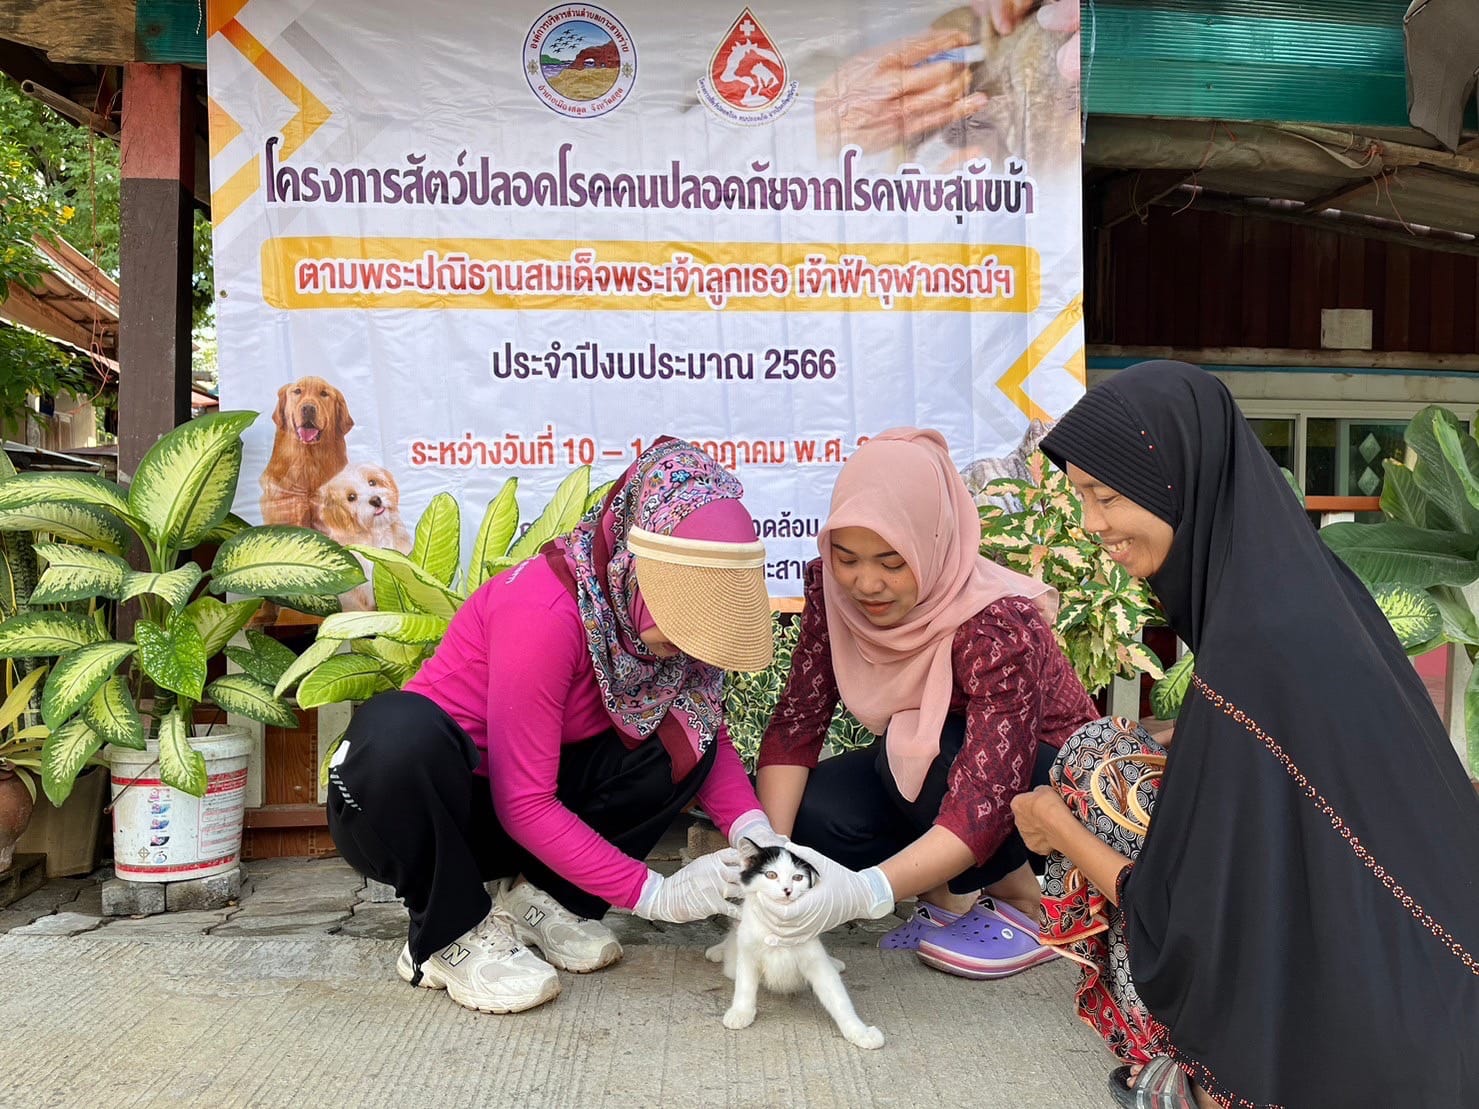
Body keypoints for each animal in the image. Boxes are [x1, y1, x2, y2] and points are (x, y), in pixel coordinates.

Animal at [701, 839, 875, 1052]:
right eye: (771, 874)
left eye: (798, 877)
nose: (787, 890)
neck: (778, 929)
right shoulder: (748, 953)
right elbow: (745, 985)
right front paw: (741, 1012)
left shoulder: (815, 959)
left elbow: (837, 996)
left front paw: (859, 1031)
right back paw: (719, 950)